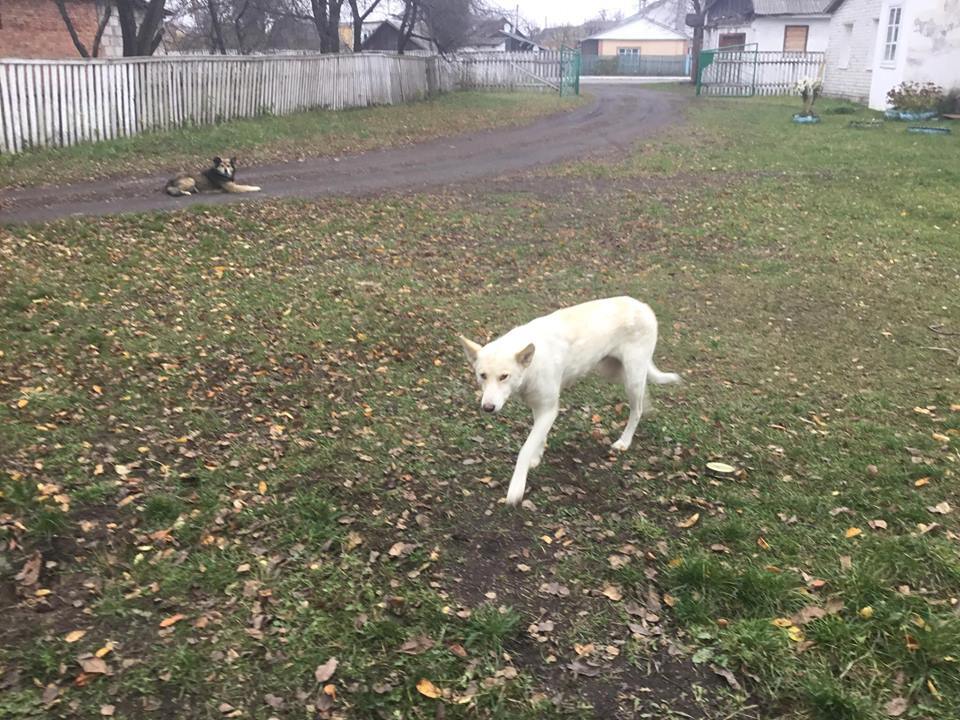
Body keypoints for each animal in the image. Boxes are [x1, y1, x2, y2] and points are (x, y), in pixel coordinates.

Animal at [460, 296, 680, 506]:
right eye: (482, 376)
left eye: (504, 376)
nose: (488, 408)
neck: (531, 366)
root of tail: (643, 305)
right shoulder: (540, 407)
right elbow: (538, 438)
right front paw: (536, 457)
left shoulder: (549, 409)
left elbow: (525, 449)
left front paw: (516, 488)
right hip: (614, 372)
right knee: (644, 392)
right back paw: (648, 408)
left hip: (631, 377)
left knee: (637, 409)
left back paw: (624, 441)